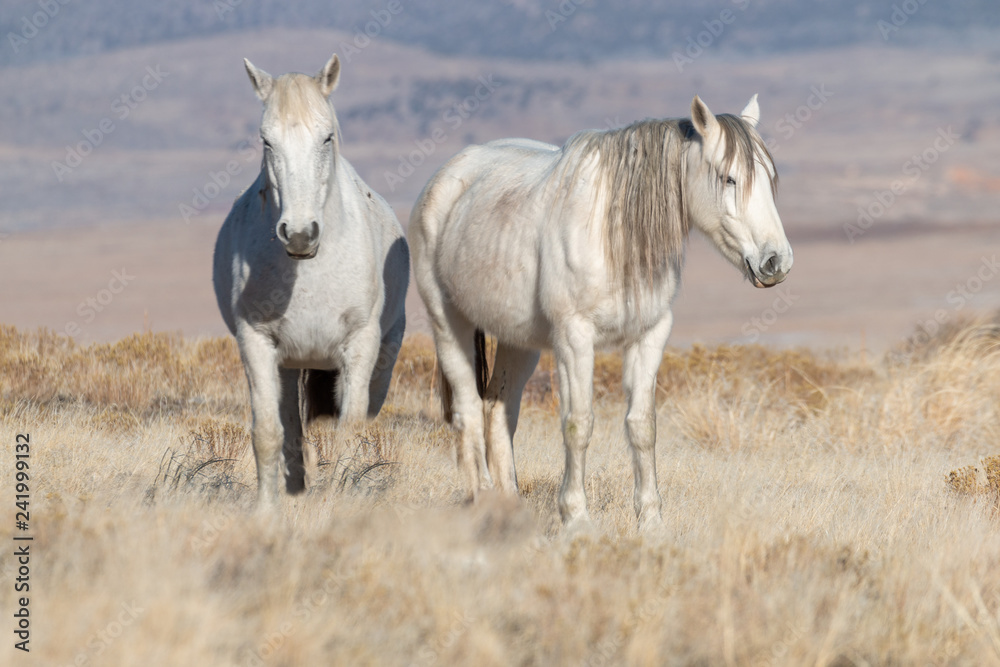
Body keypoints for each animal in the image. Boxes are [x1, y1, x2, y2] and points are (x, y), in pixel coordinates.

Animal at [213, 54, 409, 508]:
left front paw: (336, 505)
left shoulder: (359, 347)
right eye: (267, 141)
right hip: (289, 366)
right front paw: (269, 510)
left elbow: (349, 432)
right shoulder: (256, 343)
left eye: (327, 138)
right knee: (293, 430)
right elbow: (269, 434)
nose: (300, 234)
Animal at [409, 94, 792, 532]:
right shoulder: (574, 339)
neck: (614, 236)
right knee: (470, 410)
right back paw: (484, 502)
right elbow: (578, 424)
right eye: (729, 179)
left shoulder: (650, 336)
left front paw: (651, 521)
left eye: (769, 178)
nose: (776, 262)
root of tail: (447, 175)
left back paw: (510, 509)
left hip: (518, 341)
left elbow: (642, 426)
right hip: (448, 324)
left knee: (498, 410)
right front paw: (576, 518)